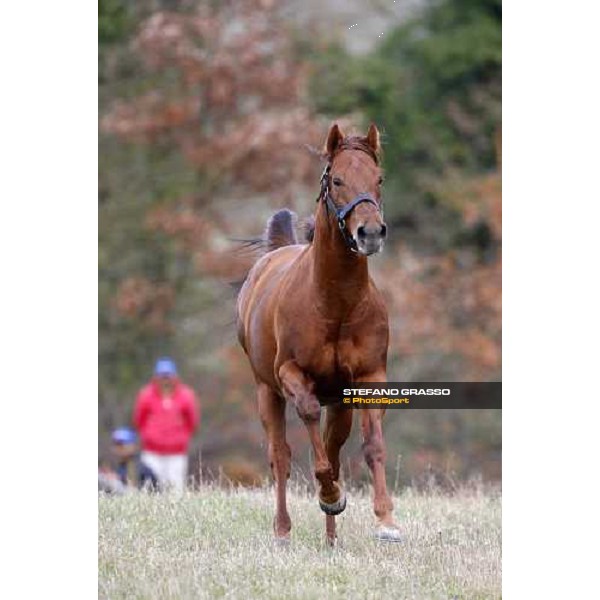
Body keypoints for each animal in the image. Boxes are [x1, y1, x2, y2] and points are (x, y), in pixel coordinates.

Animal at [237, 122, 400, 544]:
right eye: (337, 180)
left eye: (379, 179)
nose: (370, 233)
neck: (335, 306)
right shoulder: (291, 374)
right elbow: (308, 426)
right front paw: (330, 495)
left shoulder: (367, 378)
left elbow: (372, 445)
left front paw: (387, 521)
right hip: (265, 391)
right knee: (281, 455)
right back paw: (282, 531)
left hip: (338, 404)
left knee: (333, 449)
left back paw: (331, 539)